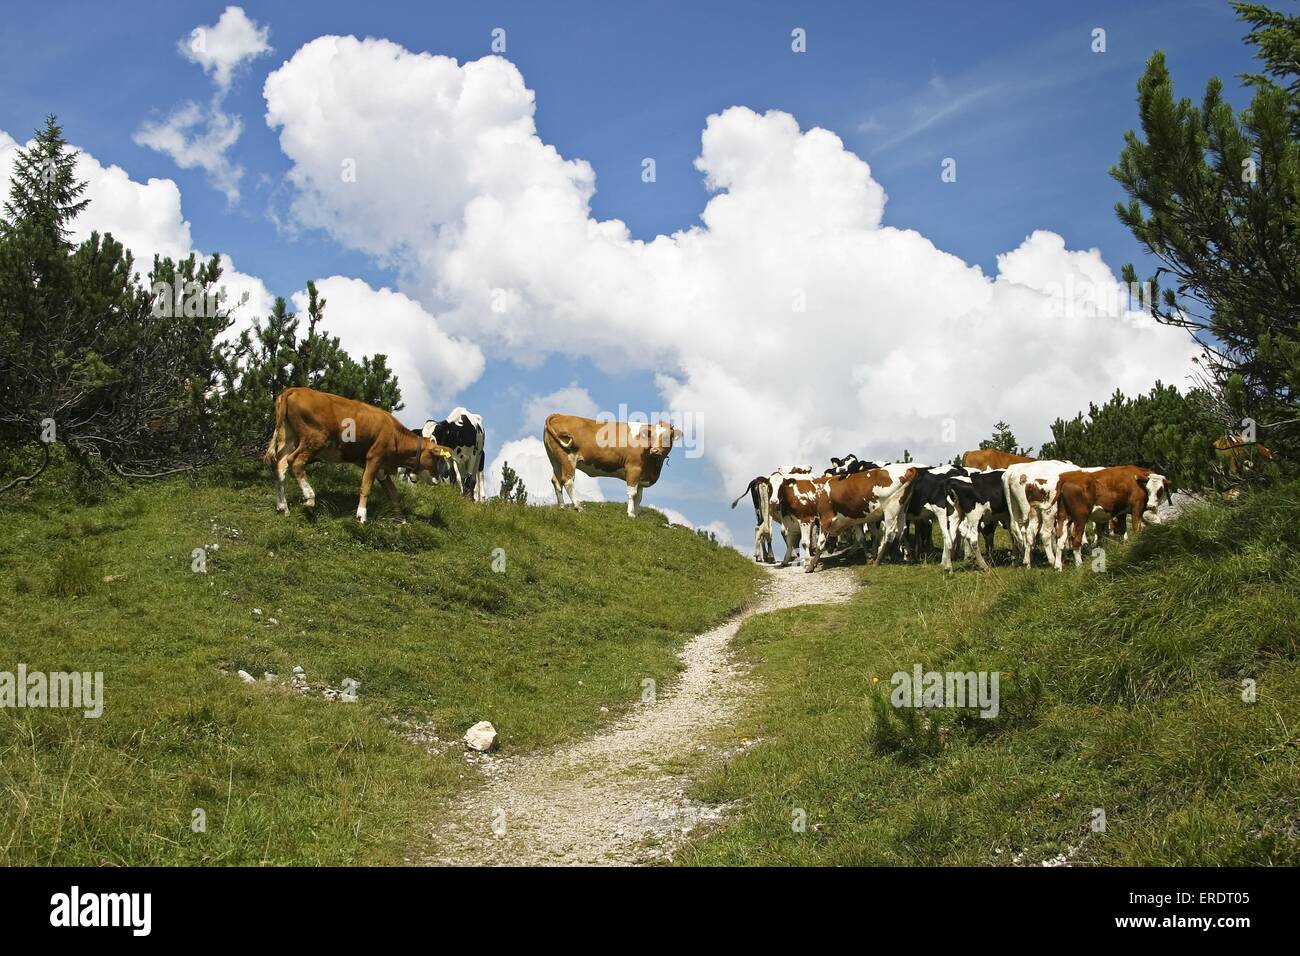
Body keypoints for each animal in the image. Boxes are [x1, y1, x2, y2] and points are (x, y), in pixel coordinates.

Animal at [265, 387, 455, 523]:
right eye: (436, 457)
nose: (438, 479)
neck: (395, 435)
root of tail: (295, 389)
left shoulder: (381, 468)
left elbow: (393, 493)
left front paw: (401, 519)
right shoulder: (374, 458)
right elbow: (366, 487)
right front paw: (361, 515)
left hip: (287, 437)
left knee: (279, 467)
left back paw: (282, 506)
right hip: (314, 439)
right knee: (295, 462)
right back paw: (310, 498)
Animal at [543, 414, 681, 517]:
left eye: (668, 437)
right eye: (652, 436)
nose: (655, 450)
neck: (653, 466)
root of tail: (558, 415)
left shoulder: (641, 475)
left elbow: (639, 497)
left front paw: (636, 515)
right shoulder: (633, 468)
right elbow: (632, 493)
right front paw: (630, 514)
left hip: (555, 460)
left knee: (556, 481)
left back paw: (562, 506)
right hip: (568, 458)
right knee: (568, 481)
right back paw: (578, 507)